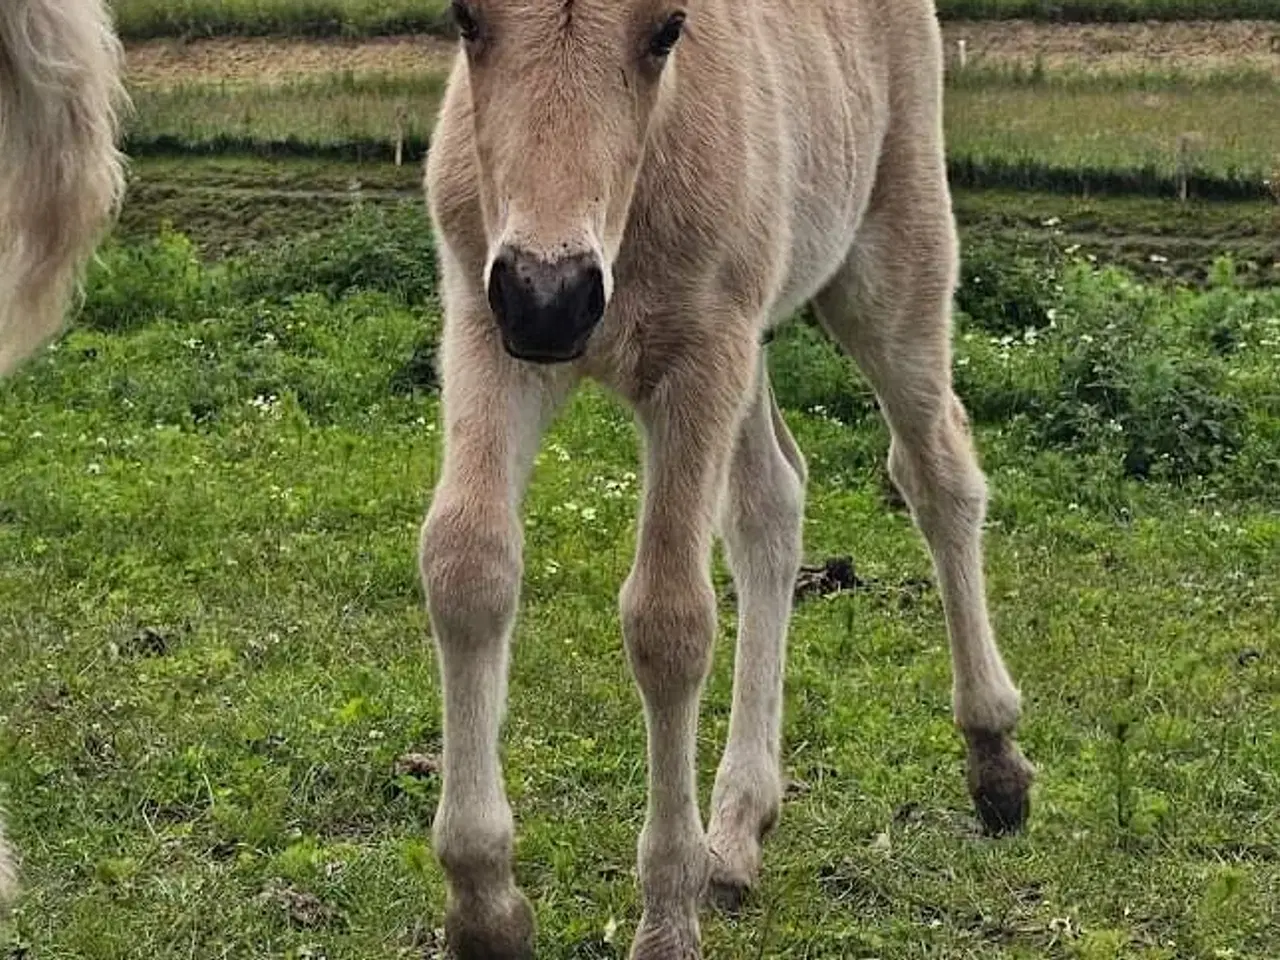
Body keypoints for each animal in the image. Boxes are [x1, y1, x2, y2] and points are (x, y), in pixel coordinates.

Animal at [424, 0, 1034, 957]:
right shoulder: (487, 326)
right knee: (772, 499)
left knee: (937, 471)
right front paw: (485, 904)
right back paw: (740, 826)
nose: (552, 298)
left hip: (889, 256)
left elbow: (668, 619)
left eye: (669, 28)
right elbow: (466, 565)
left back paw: (994, 757)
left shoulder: (699, 356)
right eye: (463, 18)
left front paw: (668, 916)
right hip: (749, 333)